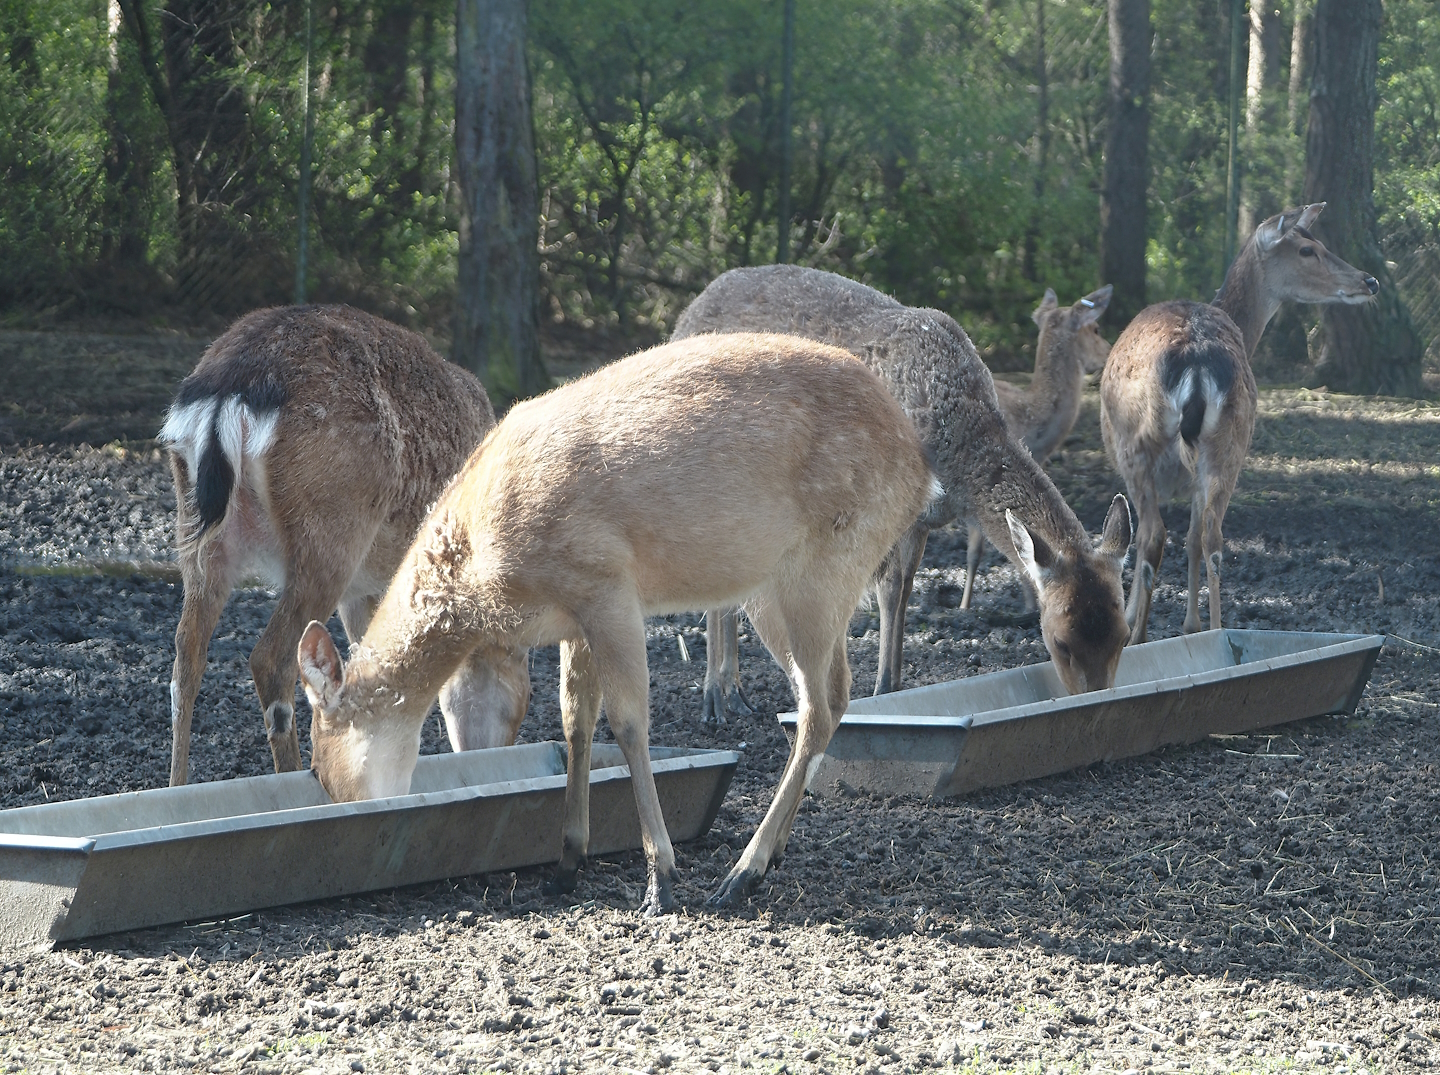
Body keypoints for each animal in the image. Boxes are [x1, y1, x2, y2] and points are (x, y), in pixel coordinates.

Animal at [159, 304, 530, 787]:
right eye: (520, 704)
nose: (491, 755)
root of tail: (227, 394)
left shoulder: (362, 590)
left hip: (199, 531)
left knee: (186, 654)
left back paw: (175, 786)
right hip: (332, 529)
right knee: (271, 657)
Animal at [296, 332, 942, 914]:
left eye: (320, 764)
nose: (358, 829)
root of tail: (923, 474)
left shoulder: (605, 583)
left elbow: (629, 723)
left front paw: (662, 880)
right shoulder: (573, 617)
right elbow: (574, 723)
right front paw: (565, 865)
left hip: (824, 566)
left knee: (817, 706)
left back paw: (741, 874)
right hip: (779, 591)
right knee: (836, 694)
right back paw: (772, 852)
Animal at [1100, 203, 1379, 644]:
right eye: (1307, 249)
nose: (1370, 280)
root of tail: (1197, 363)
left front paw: (1131, 621)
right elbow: (1193, 539)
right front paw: (1190, 625)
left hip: (1138, 444)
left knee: (1153, 535)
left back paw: (1141, 636)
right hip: (1230, 443)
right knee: (1211, 536)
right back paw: (1214, 633)